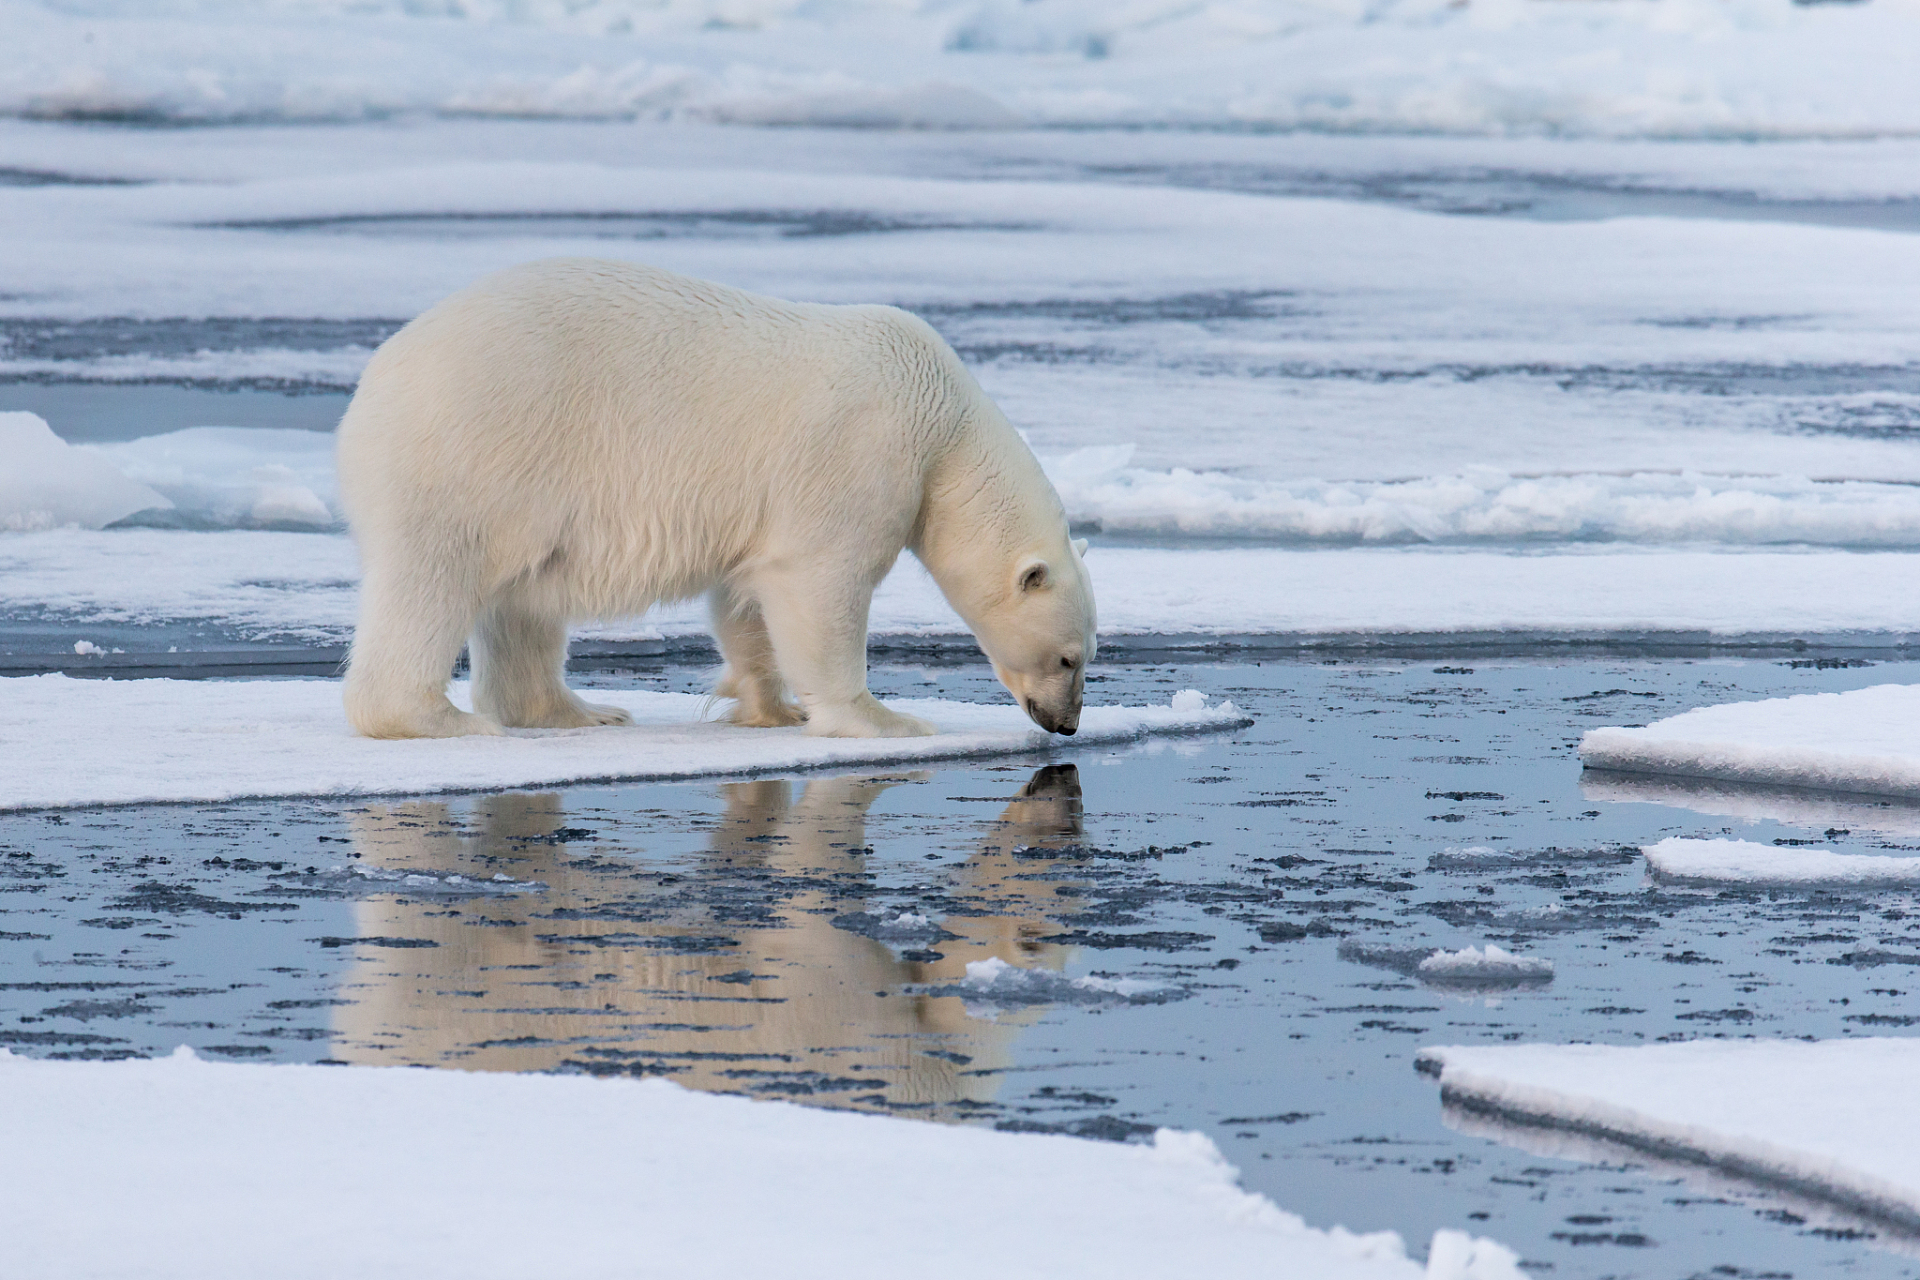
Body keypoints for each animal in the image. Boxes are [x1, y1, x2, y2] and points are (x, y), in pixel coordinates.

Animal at [334, 257, 1098, 740]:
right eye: (1069, 658)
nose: (1066, 723)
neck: (940, 423)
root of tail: (373, 382)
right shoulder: (859, 455)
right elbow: (819, 586)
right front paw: (884, 720)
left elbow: (746, 596)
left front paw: (769, 708)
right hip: (476, 452)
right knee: (433, 582)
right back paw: (442, 720)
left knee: (523, 606)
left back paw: (579, 712)